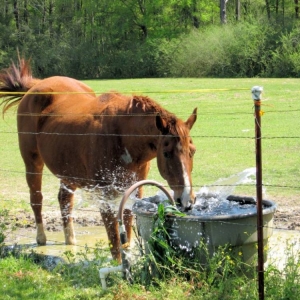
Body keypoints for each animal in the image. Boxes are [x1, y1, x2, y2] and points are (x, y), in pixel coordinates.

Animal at [0, 58, 198, 260]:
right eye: (166, 153)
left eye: (192, 151)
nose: (186, 200)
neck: (122, 137)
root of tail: (36, 86)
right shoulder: (105, 195)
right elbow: (115, 240)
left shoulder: (135, 189)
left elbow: (127, 232)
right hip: (32, 162)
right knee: (36, 198)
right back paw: (41, 238)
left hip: (68, 170)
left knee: (65, 200)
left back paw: (70, 241)